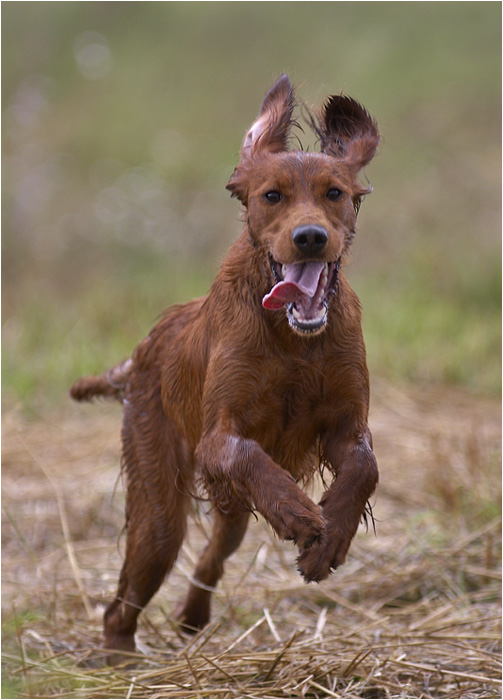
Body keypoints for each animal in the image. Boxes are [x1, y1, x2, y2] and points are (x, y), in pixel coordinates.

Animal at [70, 74, 378, 660]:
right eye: (272, 195)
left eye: (335, 193)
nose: (310, 237)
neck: (292, 337)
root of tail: (142, 352)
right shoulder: (218, 436)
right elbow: (244, 452)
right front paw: (300, 513)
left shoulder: (346, 424)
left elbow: (365, 469)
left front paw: (328, 541)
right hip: (159, 512)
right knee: (123, 600)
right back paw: (122, 659)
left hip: (228, 513)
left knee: (213, 555)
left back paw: (192, 617)